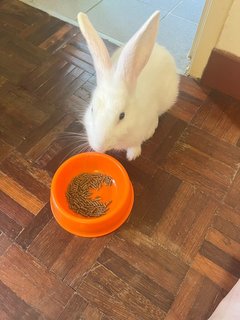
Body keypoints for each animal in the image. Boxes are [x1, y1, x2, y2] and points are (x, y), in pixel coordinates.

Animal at [78, 11, 179, 161]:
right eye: (92, 109)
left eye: (122, 116)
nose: (99, 147)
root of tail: (159, 47)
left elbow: (136, 144)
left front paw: (132, 155)